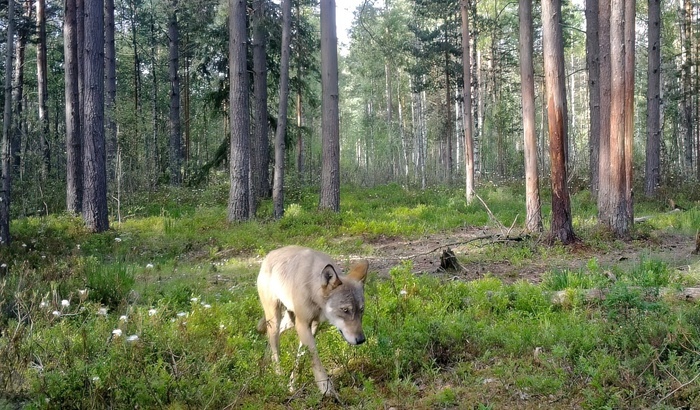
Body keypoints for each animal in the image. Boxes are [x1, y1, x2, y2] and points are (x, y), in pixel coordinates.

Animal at [256, 245, 366, 398]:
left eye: (361, 310)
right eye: (345, 310)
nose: (361, 339)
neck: (312, 287)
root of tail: (270, 254)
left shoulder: (313, 325)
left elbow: (301, 357)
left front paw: (292, 384)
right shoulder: (302, 324)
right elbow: (315, 358)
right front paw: (326, 389)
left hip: (289, 322)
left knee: (271, 339)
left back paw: (265, 365)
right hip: (275, 320)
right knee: (275, 347)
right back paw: (278, 378)